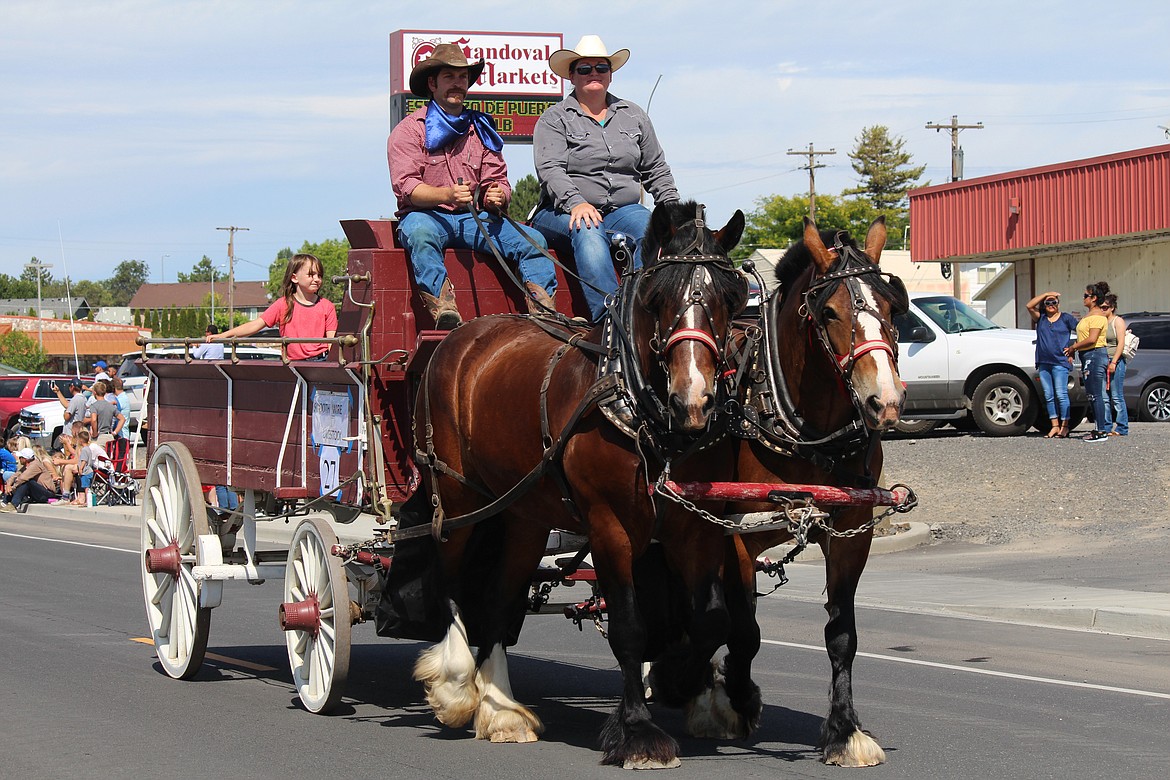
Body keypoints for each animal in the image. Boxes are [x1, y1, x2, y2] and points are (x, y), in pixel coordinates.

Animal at [386, 201, 748, 767]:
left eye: (730, 296)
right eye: (657, 298)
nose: (693, 399)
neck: (638, 403)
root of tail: (458, 338)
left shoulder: (696, 526)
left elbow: (710, 619)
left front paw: (678, 679)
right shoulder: (609, 526)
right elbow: (629, 626)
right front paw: (637, 731)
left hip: (524, 513)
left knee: (499, 596)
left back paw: (502, 709)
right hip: (459, 495)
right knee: (449, 577)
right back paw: (454, 685)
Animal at [725, 216, 907, 767]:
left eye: (894, 307)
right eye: (828, 313)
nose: (885, 401)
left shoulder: (850, 531)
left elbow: (842, 635)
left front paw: (845, 730)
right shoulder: (737, 533)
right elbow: (744, 627)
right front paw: (739, 701)